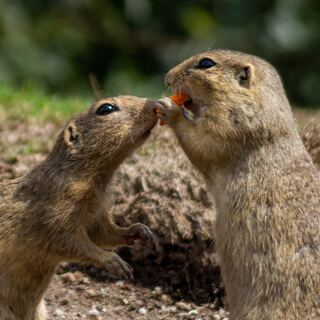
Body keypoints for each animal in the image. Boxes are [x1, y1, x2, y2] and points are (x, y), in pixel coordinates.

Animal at [0, 95, 158, 320]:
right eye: (105, 109)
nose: (155, 105)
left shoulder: (97, 215)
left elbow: (108, 234)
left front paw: (141, 231)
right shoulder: (55, 217)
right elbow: (72, 243)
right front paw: (115, 262)